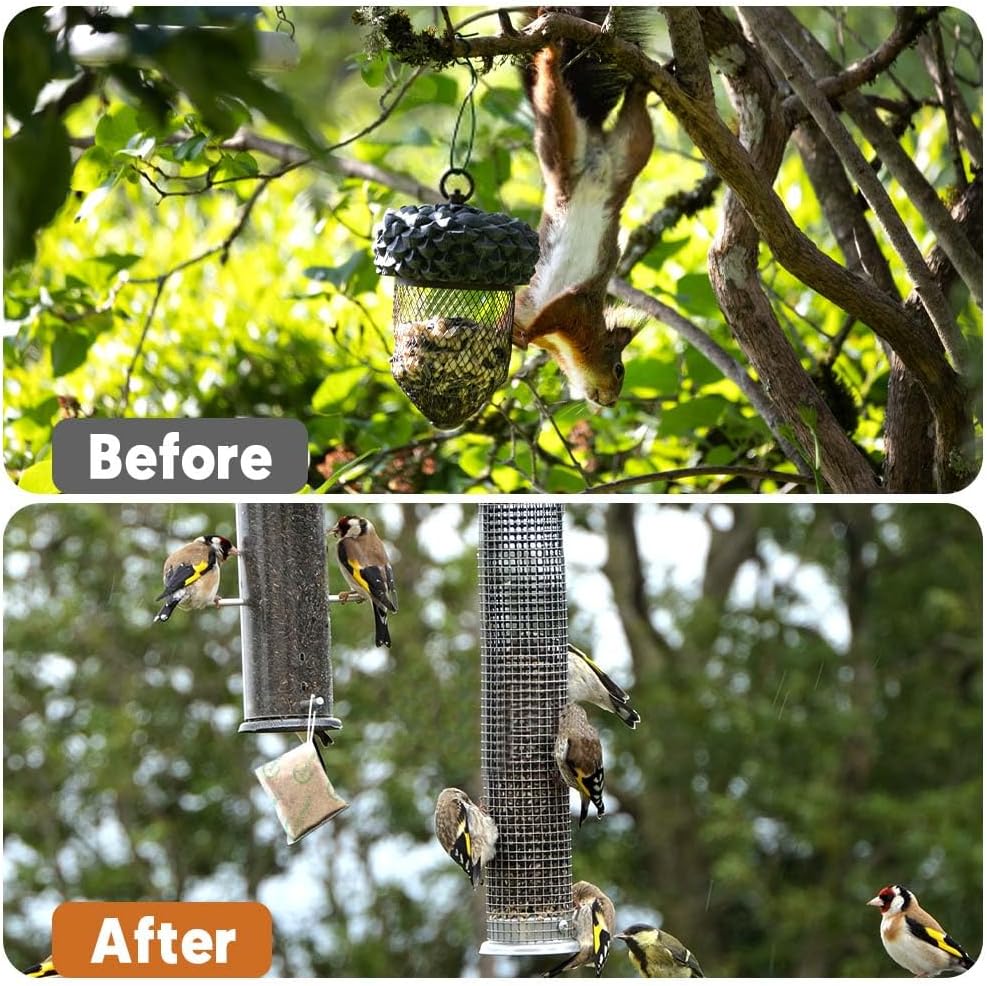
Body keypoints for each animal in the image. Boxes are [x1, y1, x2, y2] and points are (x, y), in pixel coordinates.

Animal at [513, 7, 655, 407]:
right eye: (619, 369)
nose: (610, 402)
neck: (567, 347)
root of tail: (597, 153)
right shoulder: (574, 309)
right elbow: (542, 318)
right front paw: (522, 337)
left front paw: (519, 337)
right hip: (561, 144)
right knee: (551, 92)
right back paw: (551, 50)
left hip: (631, 151)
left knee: (637, 121)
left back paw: (640, 87)